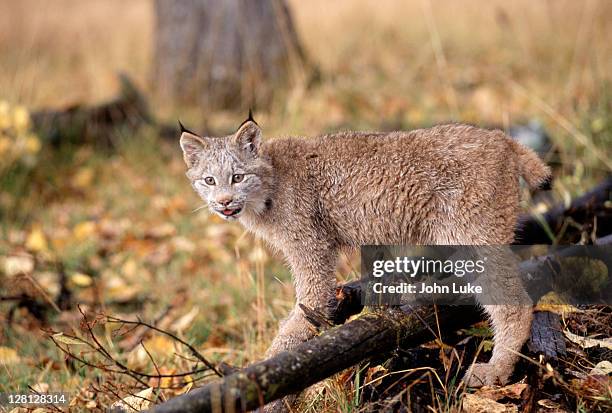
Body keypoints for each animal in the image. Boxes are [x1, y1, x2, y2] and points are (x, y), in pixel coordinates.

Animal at [179, 115, 552, 406]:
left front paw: (268, 371)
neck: (268, 185)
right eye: (209, 181)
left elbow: (301, 314)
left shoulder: (311, 251)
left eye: (238, 177)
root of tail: (501, 138)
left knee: (516, 303)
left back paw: (497, 371)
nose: (224, 203)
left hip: (474, 236)